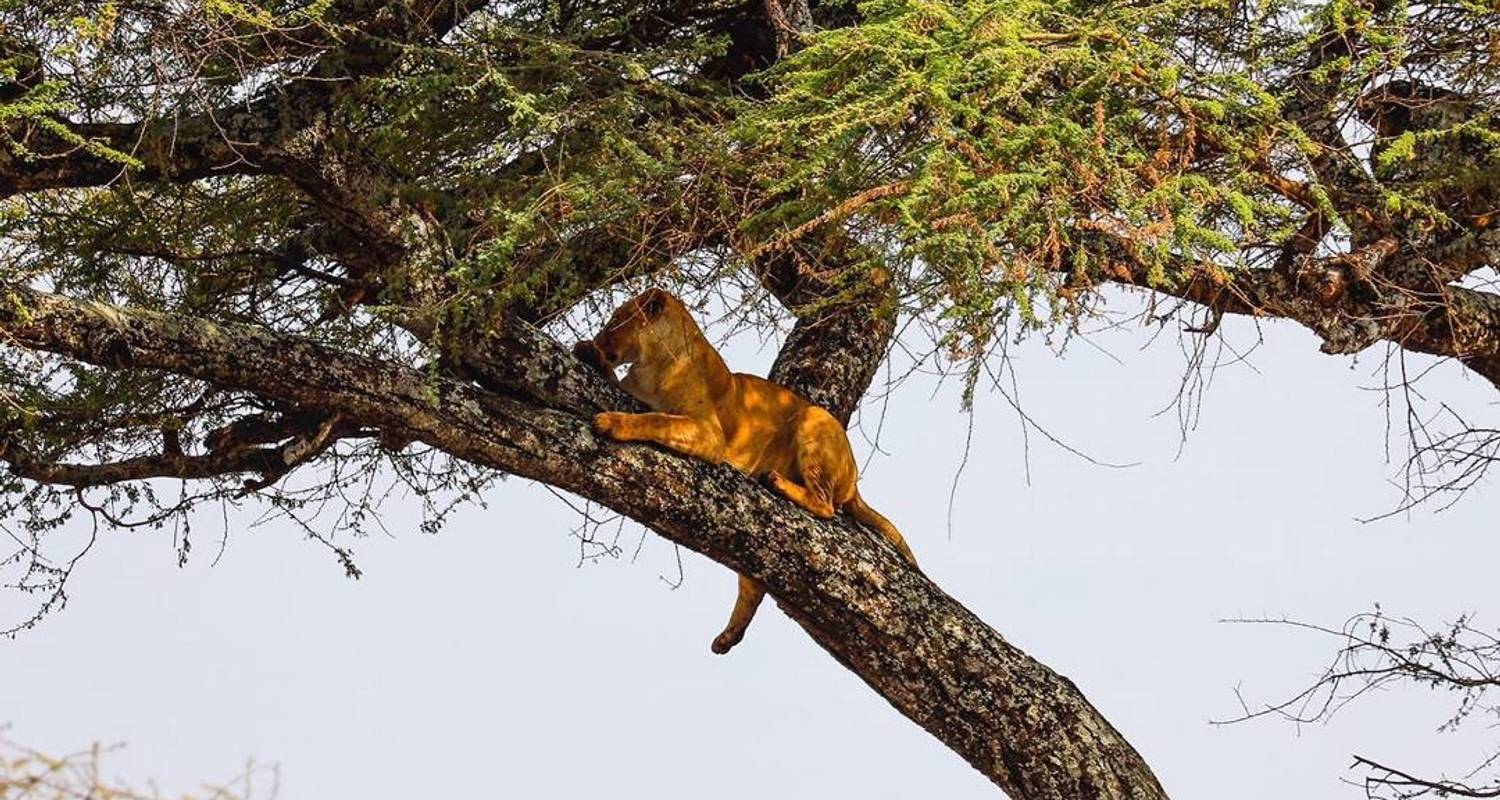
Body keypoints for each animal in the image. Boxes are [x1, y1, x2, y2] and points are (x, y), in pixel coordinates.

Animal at [574, 288, 916, 654]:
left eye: (616, 319)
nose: (599, 338)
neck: (649, 365)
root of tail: (854, 483)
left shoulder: (708, 433)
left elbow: (656, 419)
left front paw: (612, 422)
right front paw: (587, 351)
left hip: (813, 418)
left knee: (826, 506)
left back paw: (778, 482)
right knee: (754, 581)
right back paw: (727, 637)